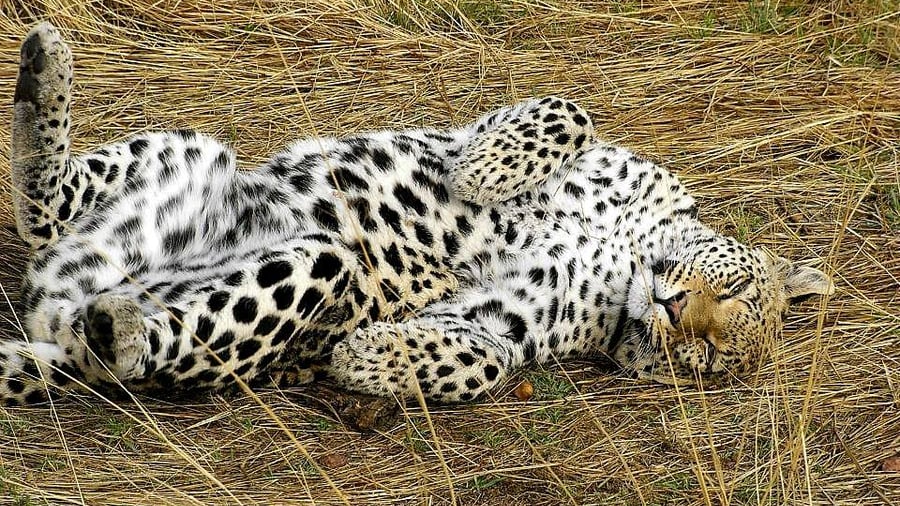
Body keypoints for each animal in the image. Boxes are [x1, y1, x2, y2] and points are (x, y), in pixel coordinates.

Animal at [1, 22, 833, 407]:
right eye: (732, 291)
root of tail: (55, 311)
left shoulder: (513, 318)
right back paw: (44, 68)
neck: (629, 252)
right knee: (41, 198)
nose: (674, 312)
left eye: (710, 357)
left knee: (118, 334)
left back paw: (120, 325)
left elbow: (491, 358)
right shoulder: (581, 146)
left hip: (288, 262)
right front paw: (487, 170)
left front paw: (359, 356)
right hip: (192, 154)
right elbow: (569, 110)